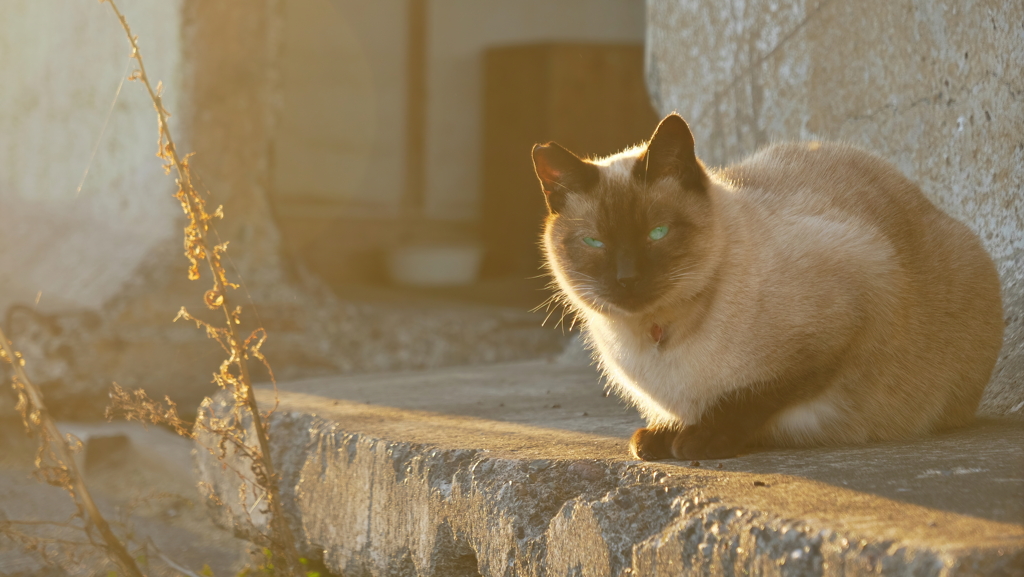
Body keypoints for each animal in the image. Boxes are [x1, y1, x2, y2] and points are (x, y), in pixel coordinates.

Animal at [532, 112, 1003, 461]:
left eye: (657, 233)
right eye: (594, 242)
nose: (627, 279)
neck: (656, 338)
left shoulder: (851, 309)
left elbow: (750, 398)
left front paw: (699, 440)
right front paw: (664, 435)